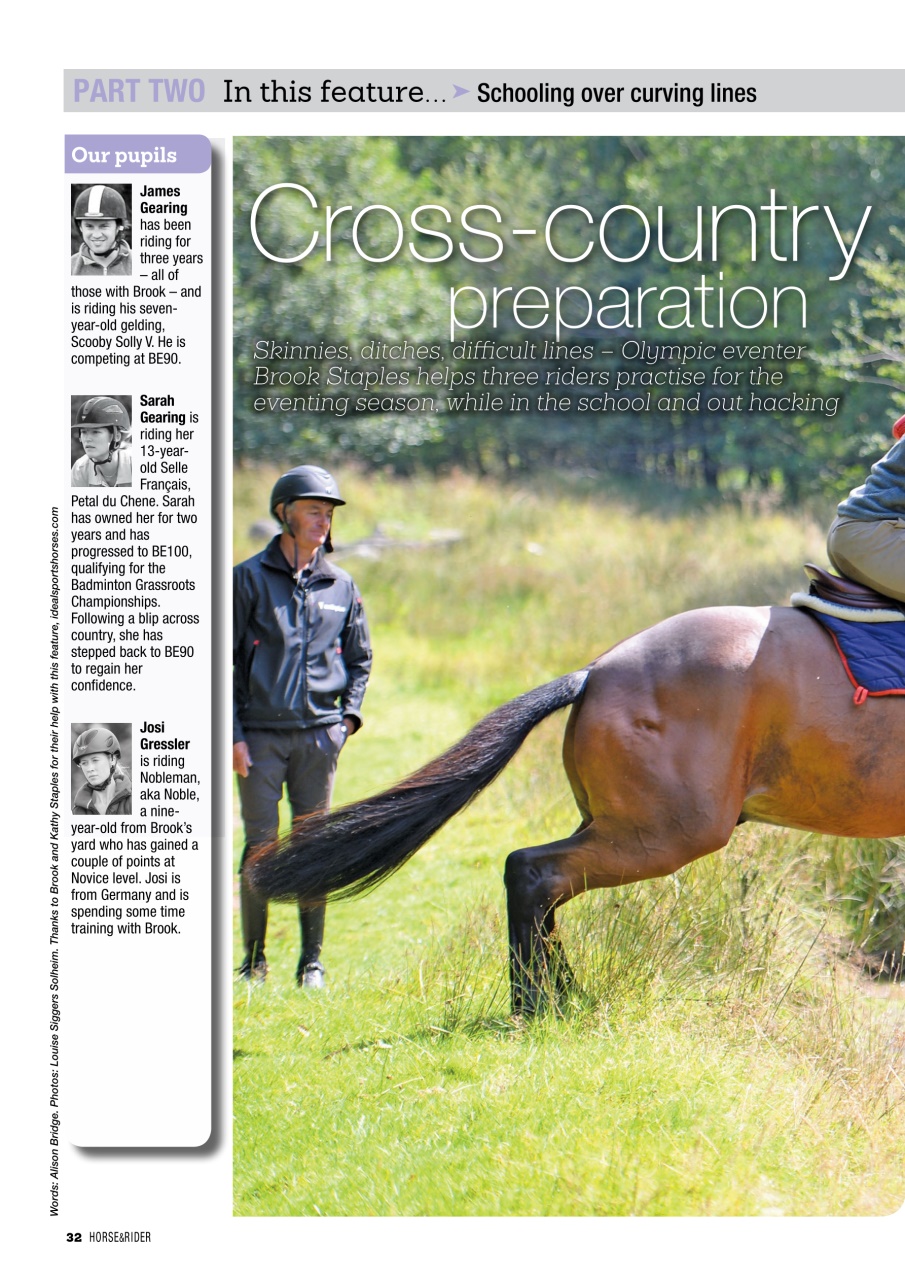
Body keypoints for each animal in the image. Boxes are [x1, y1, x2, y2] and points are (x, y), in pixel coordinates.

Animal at [247, 601, 905, 1014]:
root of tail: (594, 672)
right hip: (665, 832)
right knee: (533, 872)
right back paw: (541, 1003)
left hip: (620, 825)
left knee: (542, 885)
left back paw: (555, 997)